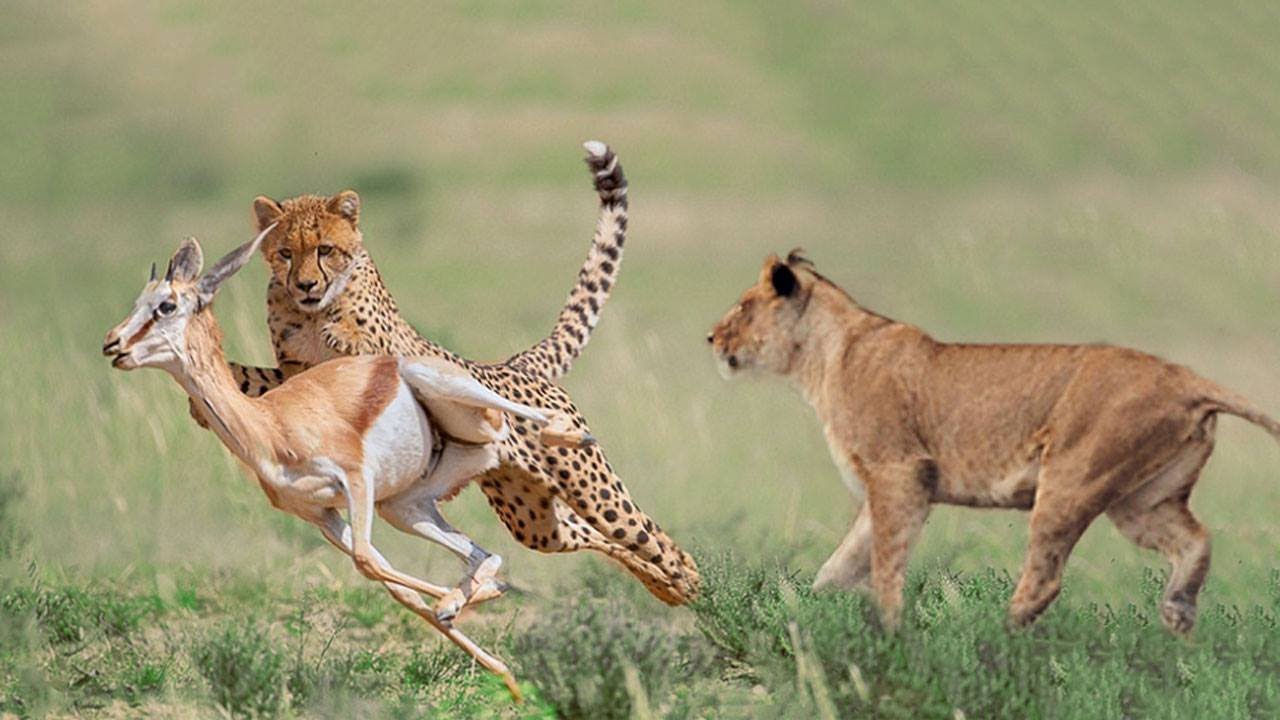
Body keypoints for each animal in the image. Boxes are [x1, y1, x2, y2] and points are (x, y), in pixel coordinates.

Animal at [102, 227, 589, 699]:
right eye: (137, 302)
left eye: (166, 305)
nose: (112, 344)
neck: (270, 425)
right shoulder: (320, 515)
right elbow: (395, 586)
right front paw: (506, 674)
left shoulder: (357, 480)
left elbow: (368, 562)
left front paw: (464, 604)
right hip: (405, 506)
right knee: (484, 551)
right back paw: (480, 593)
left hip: (437, 396)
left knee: (523, 420)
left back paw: (568, 434)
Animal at [217, 142, 699, 607]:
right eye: (285, 253)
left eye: (325, 250)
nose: (305, 285)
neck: (313, 313)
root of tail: (513, 364)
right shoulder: (294, 377)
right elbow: (255, 381)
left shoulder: (385, 360)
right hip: (532, 518)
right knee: (591, 535)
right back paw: (667, 588)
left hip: (591, 489)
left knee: (650, 535)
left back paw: (692, 584)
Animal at [708, 249, 1280, 632]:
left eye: (741, 307)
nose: (710, 337)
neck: (821, 360)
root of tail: (1186, 377)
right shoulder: (886, 488)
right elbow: (839, 565)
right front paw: (806, 615)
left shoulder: (901, 471)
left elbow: (885, 562)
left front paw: (890, 631)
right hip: (1143, 501)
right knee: (1197, 541)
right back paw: (1177, 617)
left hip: (1070, 478)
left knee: (1045, 579)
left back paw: (997, 635)